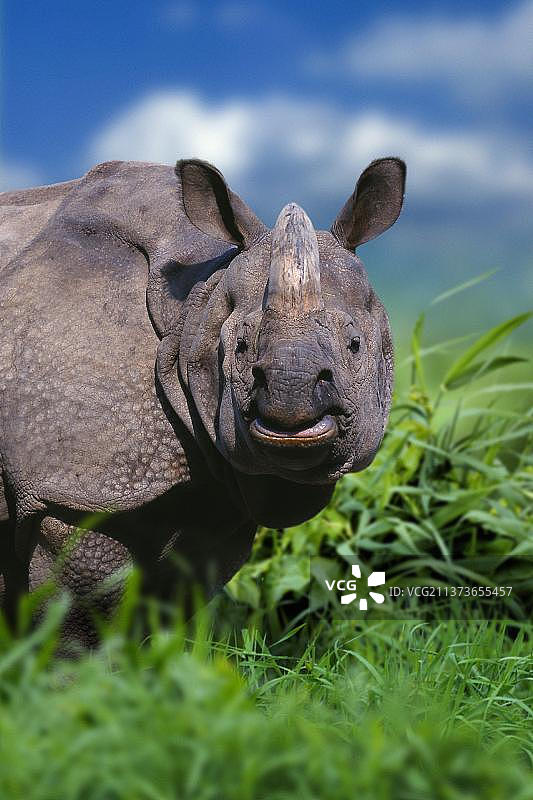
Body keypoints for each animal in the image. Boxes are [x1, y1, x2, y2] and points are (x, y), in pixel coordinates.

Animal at [0, 157, 405, 644]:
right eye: (241, 347)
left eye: (355, 345)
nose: (290, 396)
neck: (196, 302)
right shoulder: (67, 488)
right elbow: (83, 619)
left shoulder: (214, 504)